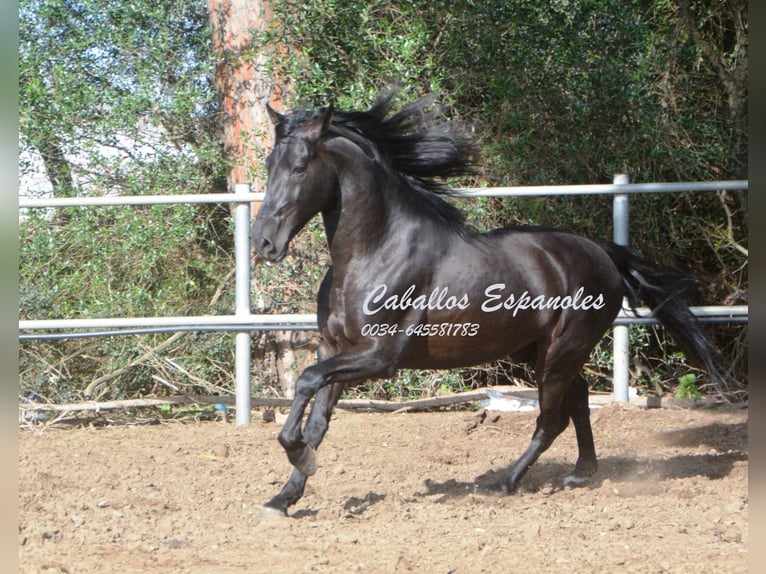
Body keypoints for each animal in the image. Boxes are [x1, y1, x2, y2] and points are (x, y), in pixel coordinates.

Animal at [254, 89, 728, 516]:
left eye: (300, 167)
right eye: (268, 165)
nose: (263, 243)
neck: (375, 251)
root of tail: (601, 253)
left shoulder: (378, 355)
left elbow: (306, 382)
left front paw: (297, 455)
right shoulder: (335, 348)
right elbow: (317, 418)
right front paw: (284, 497)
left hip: (561, 351)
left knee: (551, 419)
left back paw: (502, 483)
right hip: (542, 352)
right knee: (576, 399)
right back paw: (579, 473)